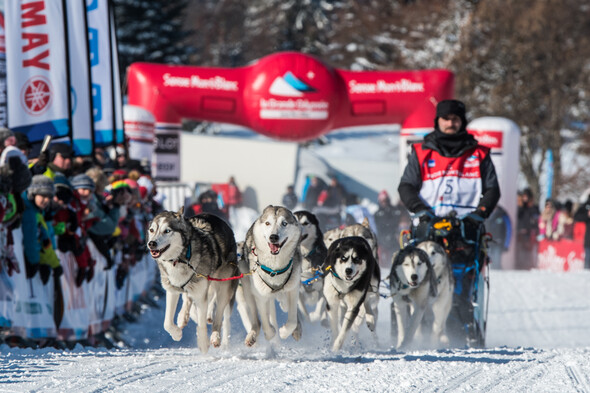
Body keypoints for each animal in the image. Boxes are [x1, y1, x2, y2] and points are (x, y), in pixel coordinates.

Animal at [147, 208, 239, 352]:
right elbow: (167, 323)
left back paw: (216, 337)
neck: (179, 259)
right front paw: (177, 333)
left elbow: (203, 322)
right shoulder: (172, 290)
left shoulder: (201, 295)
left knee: (219, 315)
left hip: (224, 287)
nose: (151, 243)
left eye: (167, 230)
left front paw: (203, 343)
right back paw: (182, 317)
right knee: (188, 300)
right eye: (151, 230)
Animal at [240, 205, 306, 346]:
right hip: (248, 291)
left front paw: (284, 332)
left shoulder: (293, 289)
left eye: (284, 223)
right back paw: (252, 335)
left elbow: (292, 320)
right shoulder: (261, 294)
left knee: (289, 309)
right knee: (257, 321)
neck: (274, 269)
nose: (273, 237)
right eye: (267, 223)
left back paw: (297, 329)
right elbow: (266, 323)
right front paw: (271, 334)